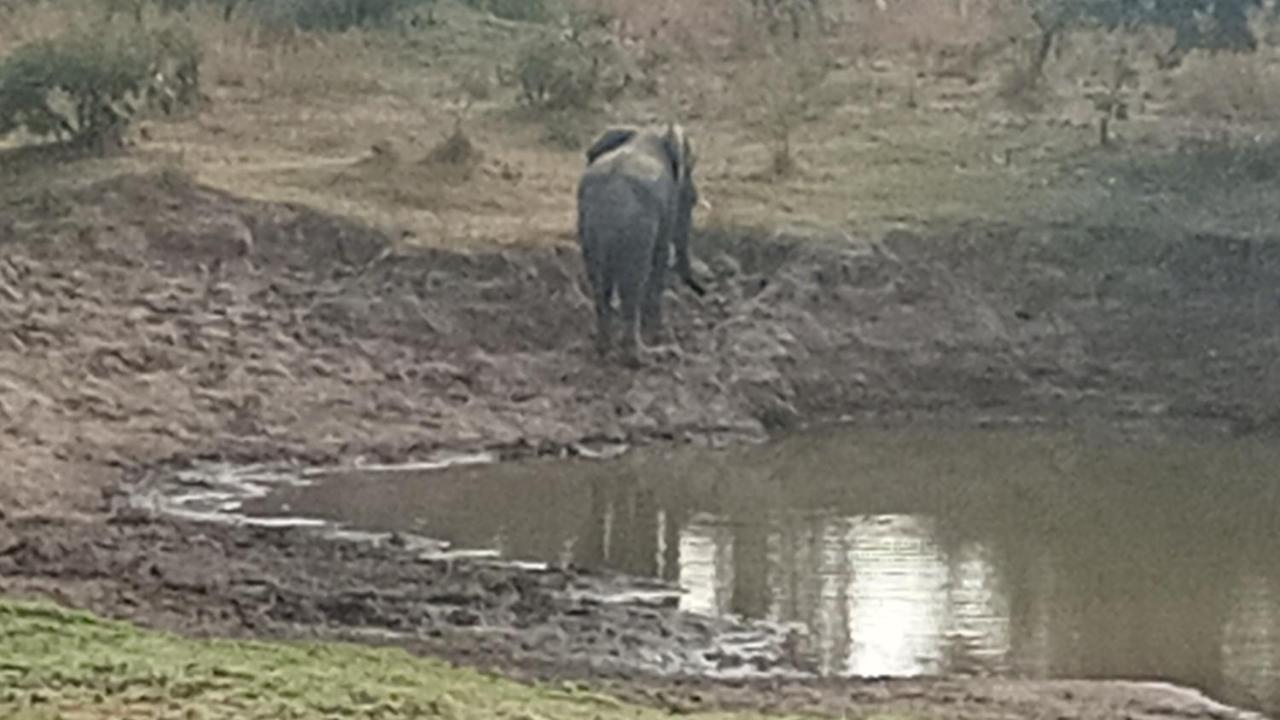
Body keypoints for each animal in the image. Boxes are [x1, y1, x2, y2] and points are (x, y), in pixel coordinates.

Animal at [576, 121, 706, 363]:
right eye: (692, 200)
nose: (703, 292)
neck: (643, 134)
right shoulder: (667, 206)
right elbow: (660, 258)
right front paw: (657, 334)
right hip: (636, 230)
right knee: (634, 282)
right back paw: (643, 356)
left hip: (587, 229)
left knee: (599, 285)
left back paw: (604, 350)